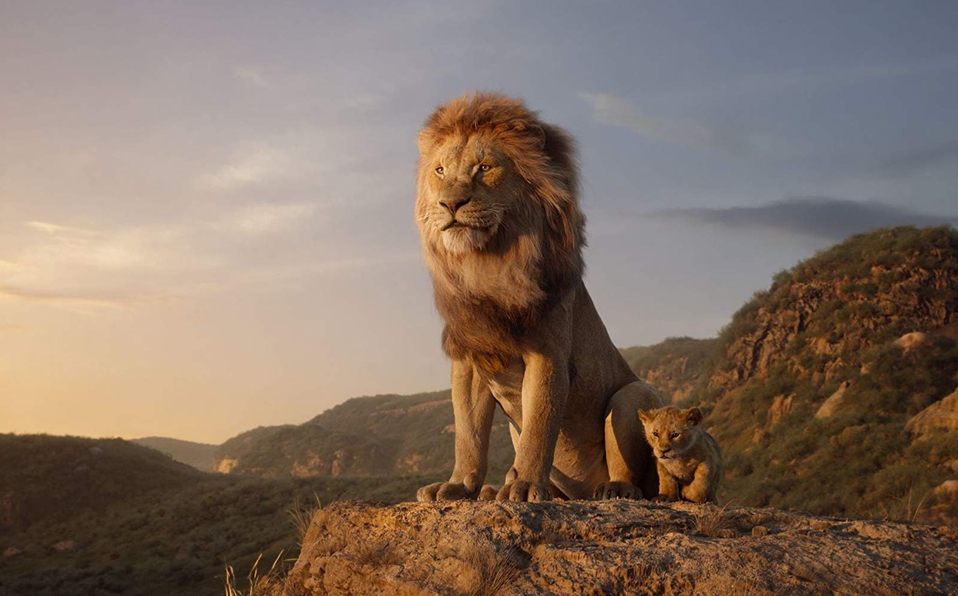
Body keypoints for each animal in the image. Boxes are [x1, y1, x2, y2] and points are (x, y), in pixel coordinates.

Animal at [414, 92, 664, 502]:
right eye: (439, 171)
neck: (487, 265)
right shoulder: (470, 358)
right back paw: (494, 490)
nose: (450, 204)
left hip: (634, 394)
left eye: (484, 168)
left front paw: (527, 485)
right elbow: (468, 434)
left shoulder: (548, 354)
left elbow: (539, 426)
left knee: (632, 473)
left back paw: (613, 489)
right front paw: (458, 485)